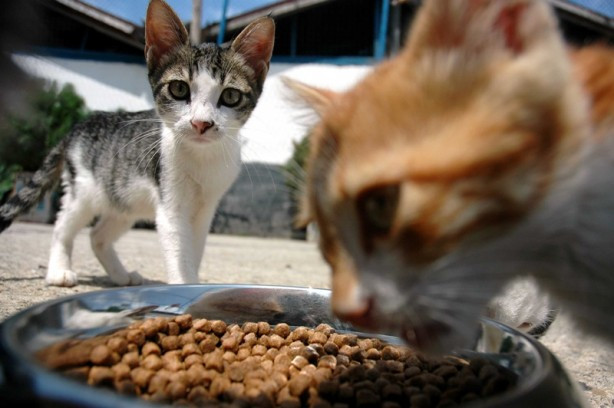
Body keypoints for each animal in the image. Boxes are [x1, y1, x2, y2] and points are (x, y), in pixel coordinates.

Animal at [0, 0, 276, 286]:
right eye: (179, 89)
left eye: (231, 96)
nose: (201, 123)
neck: (202, 159)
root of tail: (77, 126)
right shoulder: (170, 203)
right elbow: (179, 250)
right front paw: (183, 284)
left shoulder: (206, 208)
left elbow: (195, 248)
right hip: (85, 191)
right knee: (62, 225)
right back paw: (59, 271)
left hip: (124, 200)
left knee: (97, 235)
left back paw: (121, 276)